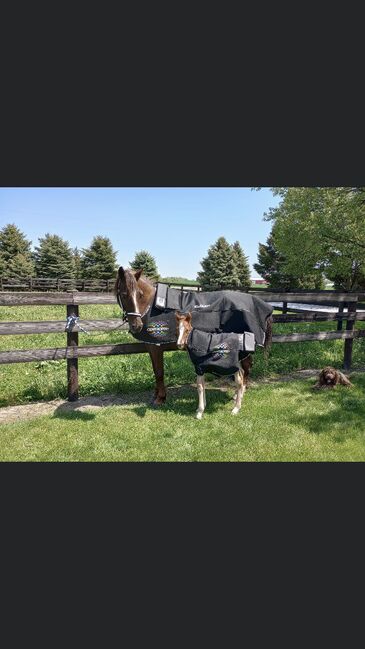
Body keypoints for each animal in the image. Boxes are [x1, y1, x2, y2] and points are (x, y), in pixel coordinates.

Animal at [115, 266, 272, 408]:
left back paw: (238, 395)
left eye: (139, 294)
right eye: (123, 294)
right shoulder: (150, 346)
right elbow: (155, 370)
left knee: (246, 367)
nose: (136, 325)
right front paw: (156, 395)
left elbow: (159, 372)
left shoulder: (156, 347)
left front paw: (160, 398)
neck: (151, 306)